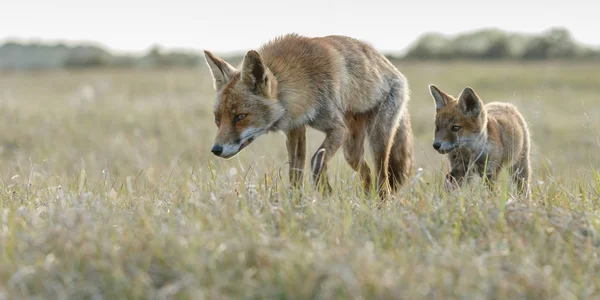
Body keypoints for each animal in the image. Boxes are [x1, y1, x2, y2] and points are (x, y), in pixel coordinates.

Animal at [203, 34, 412, 197]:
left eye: (240, 116)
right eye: (217, 119)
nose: (215, 149)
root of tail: (391, 67)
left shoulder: (337, 128)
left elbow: (316, 162)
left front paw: (325, 193)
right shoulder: (295, 129)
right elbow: (295, 173)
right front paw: (296, 204)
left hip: (376, 140)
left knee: (383, 180)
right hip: (351, 151)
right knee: (367, 175)